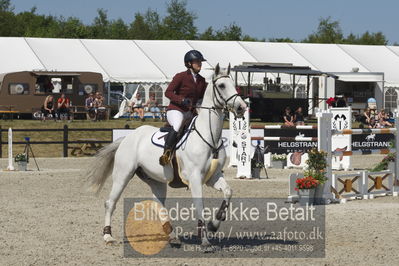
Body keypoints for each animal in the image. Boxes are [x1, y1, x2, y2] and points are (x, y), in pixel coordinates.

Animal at [88, 64, 247, 247]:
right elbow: (200, 206)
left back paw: (171, 235)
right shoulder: (195, 178)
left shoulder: (212, 177)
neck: (209, 136)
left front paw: (213, 225)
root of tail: (127, 138)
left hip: (155, 179)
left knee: (157, 203)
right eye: (221, 86)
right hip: (123, 175)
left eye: (234, 84)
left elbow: (228, 192)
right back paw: (108, 236)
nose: (242, 107)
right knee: (110, 203)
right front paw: (205, 240)